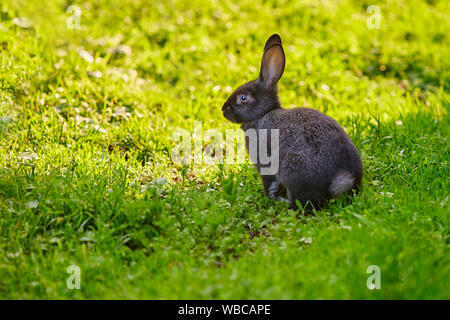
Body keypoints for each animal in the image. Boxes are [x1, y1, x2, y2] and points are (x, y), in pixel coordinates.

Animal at [221, 34, 362, 210]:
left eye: (243, 98)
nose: (223, 109)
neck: (263, 114)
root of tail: (341, 179)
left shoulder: (265, 165)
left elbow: (269, 185)